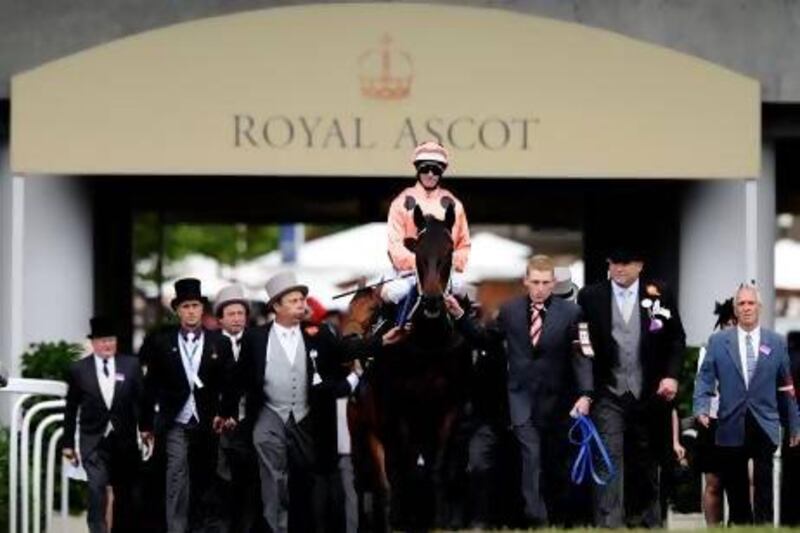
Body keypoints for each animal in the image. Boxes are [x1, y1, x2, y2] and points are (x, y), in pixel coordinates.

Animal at [346, 203, 472, 528]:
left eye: (449, 249)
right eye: (417, 249)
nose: (431, 302)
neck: (430, 343)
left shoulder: (448, 410)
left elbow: (436, 470)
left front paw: (438, 521)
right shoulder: (399, 414)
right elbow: (399, 474)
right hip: (362, 436)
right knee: (372, 485)